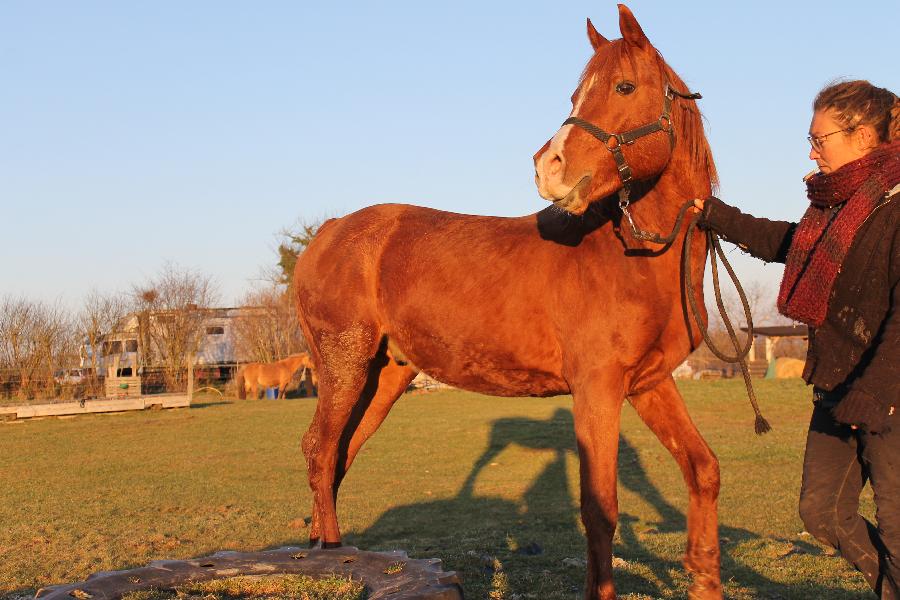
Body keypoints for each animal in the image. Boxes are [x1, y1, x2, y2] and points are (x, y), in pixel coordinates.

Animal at [298, 5, 720, 600]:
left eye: (623, 86)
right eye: (576, 95)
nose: (549, 166)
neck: (633, 258)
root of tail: (332, 230)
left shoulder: (649, 383)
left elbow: (702, 469)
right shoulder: (597, 389)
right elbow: (600, 509)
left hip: (384, 376)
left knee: (339, 454)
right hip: (344, 367)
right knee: (319, 451)